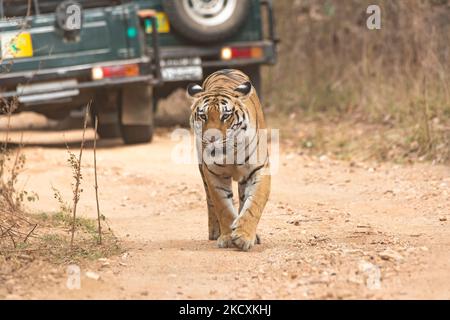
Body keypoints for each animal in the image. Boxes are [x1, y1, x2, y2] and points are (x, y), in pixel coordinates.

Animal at [187, 69, 270, 251]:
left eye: (225, 115)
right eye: (203, 116)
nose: (210, 139)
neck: (231, 151)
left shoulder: (259, 169)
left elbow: (253, 204)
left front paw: (243, 236)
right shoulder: (213, 174)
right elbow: (222, 206)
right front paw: (227, 237)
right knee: (210, 202)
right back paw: (214, 232)